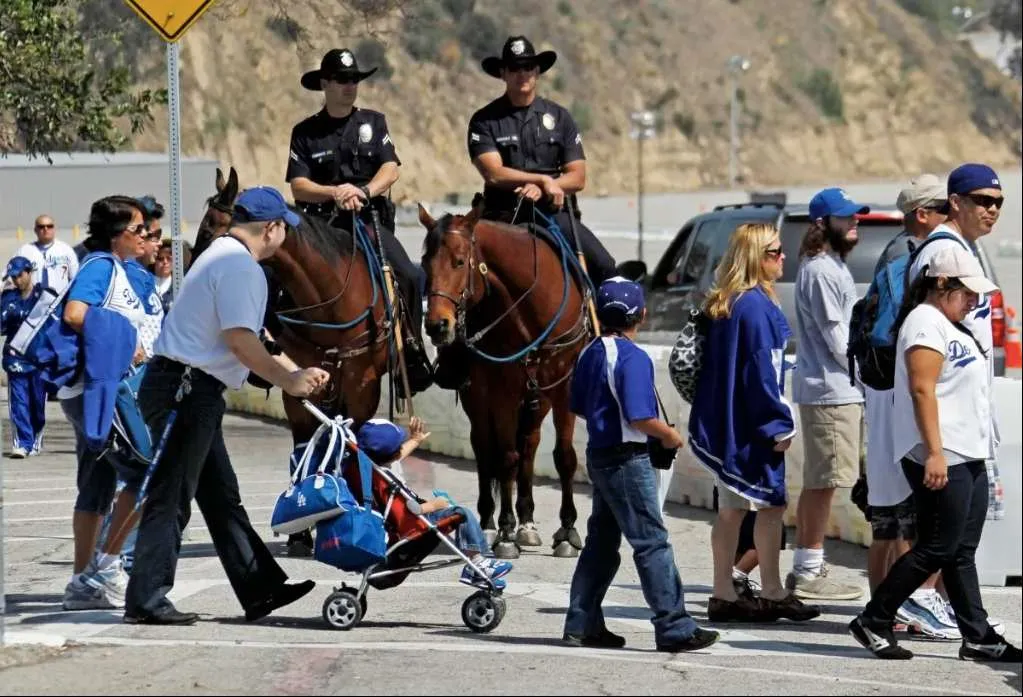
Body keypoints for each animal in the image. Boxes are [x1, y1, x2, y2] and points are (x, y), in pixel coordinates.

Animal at [417, 202, 590, 559]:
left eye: (459, 261)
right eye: (425, 263)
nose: (438, 325)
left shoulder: (565, 385)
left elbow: (564, 457)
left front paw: (567, 531)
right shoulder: (502, 389)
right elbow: (505, 457)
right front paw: (506, 532)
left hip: (537, 398)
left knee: (529, 444)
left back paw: (527, 523)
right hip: (480, 396)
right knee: (486, 448)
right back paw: (488, 523)